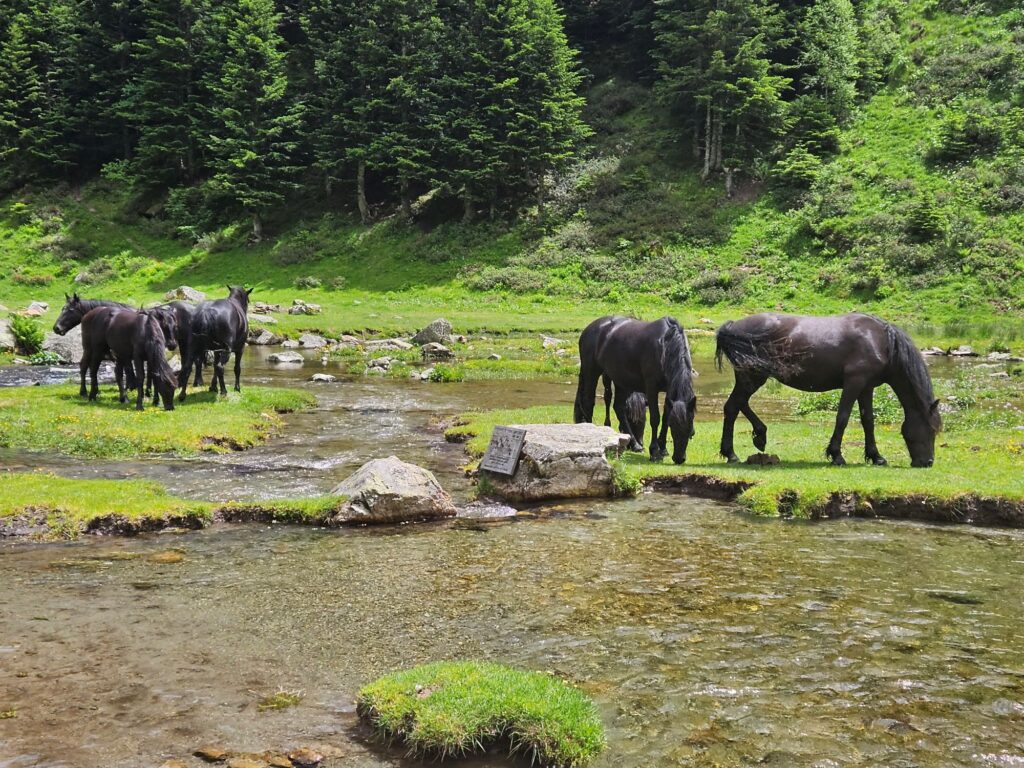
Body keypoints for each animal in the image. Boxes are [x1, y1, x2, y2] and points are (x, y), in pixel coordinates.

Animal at [575, 316, 696, 463]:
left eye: (691, 431)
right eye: (674, 427)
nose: (679, 458)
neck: (666, 346)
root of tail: (589, 329)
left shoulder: (669, 390)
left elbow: (665, 417)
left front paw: (663, 449)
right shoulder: (651, 388)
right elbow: (655, 419)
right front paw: (655, 451)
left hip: (620, 381)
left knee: (618, 408)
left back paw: (635, 444)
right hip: (591, 372)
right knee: (588, 402)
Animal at [715, 312, 941, 467]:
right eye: (931, 430)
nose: (928, 462)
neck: (879, 341)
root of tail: (733, 326)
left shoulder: (866, 387)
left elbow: (868, 421)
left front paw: (876, 456)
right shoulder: (854, 383)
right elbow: (842, 417)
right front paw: (837, 455)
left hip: (751, 379)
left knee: (739, 404)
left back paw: (759, 436)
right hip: (752, 379)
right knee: (732, 407)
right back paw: (731, 454)